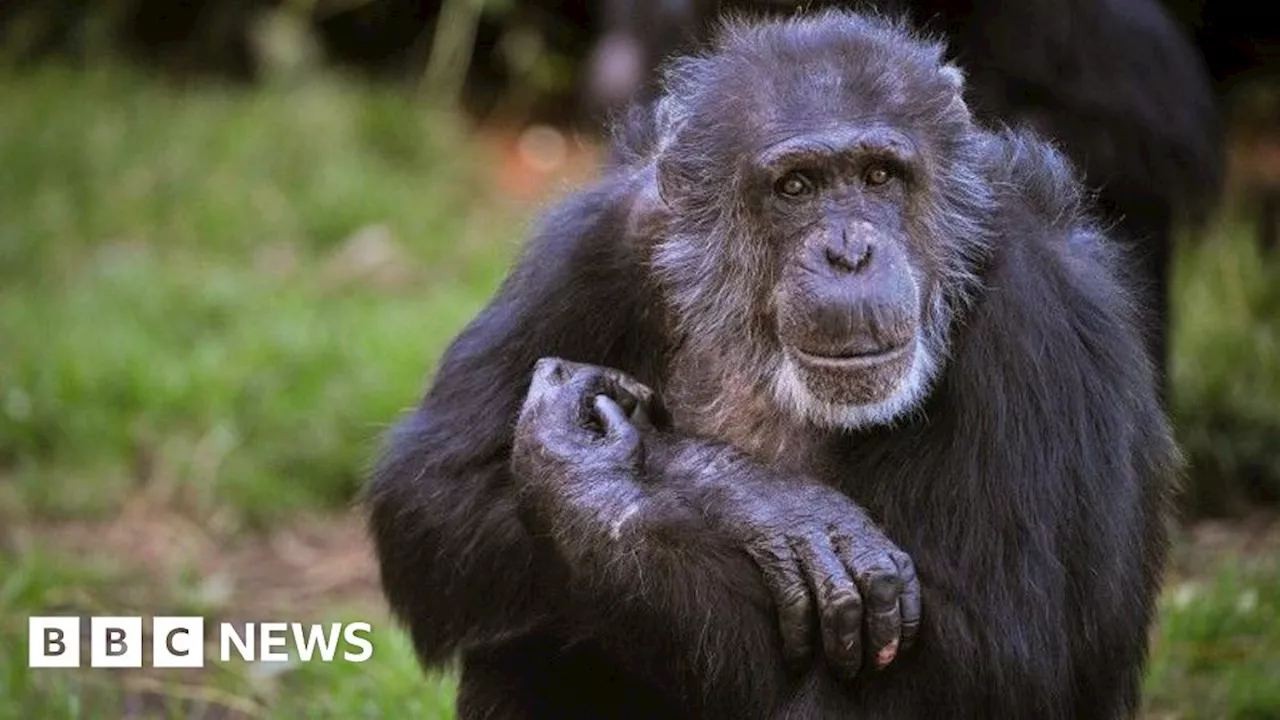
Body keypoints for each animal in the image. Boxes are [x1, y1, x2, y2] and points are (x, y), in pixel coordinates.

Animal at [368, 11, 1177, 717]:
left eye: (880, 176)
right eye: (796, 187)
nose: (848, 251)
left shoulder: (1032, 310)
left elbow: (997, 653)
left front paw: (592, 480)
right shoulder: (599, 240)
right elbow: (432, 491)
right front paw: (757, 500)